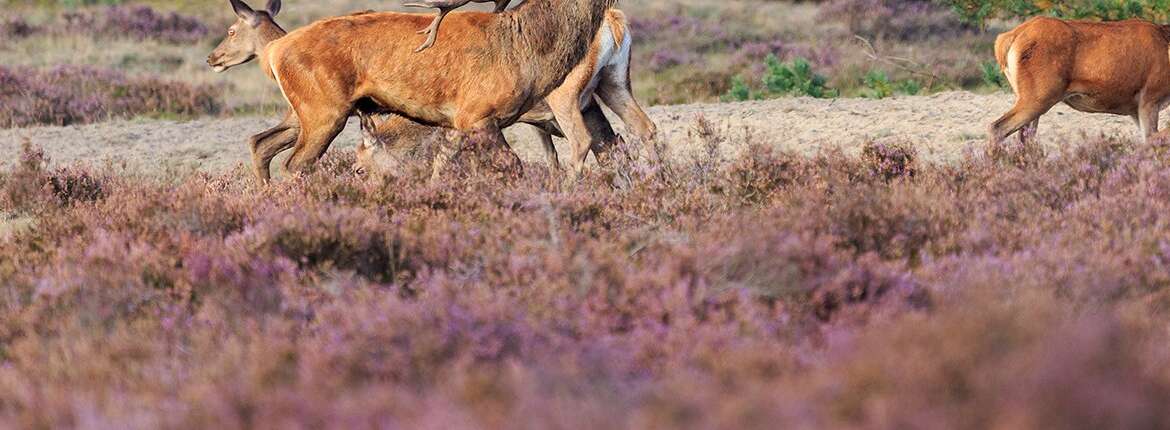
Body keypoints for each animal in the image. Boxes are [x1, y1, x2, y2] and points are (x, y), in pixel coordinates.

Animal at [205, 0, 617, 182]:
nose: (213, 58)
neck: (527, 51)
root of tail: (275, 51)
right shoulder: (477, 114)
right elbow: (512, 165)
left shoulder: (457, 124)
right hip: (321, 110)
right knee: (295, 163)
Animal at [987, 16, 1170, 146]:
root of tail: (1005, 39)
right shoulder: (1150, 97)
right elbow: (1153, 139)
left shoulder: (1135, 109)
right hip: (1038, 96)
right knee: (997, 127)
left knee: (1025, 137)